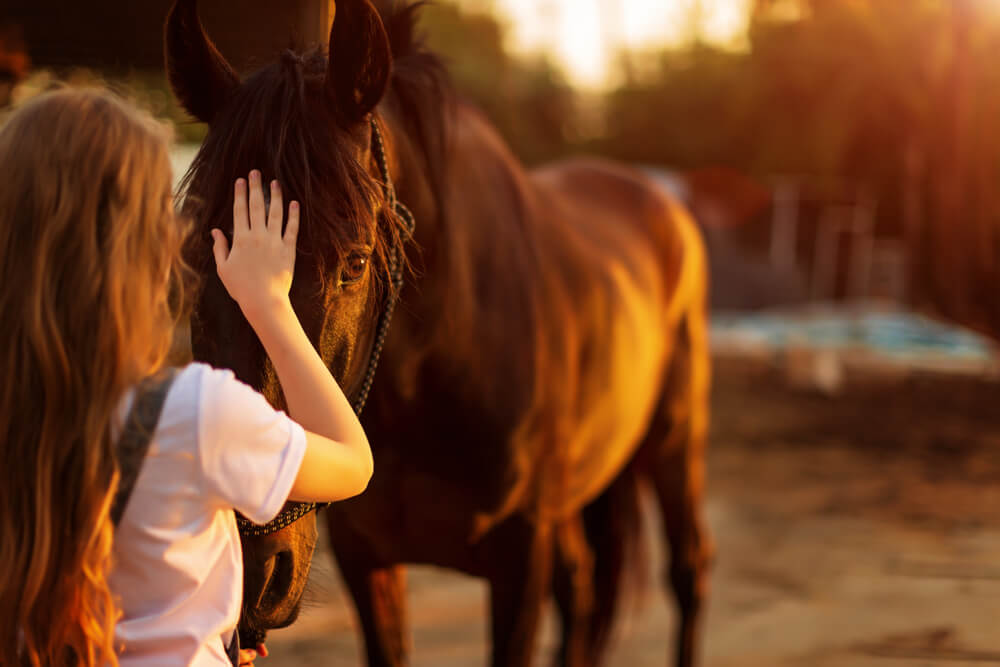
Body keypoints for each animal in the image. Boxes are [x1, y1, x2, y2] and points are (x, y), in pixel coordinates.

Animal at [166, 2, 712, 664]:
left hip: (675, 441)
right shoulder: (368, 557)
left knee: (686, 571)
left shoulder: (520, 556)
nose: (248, 568)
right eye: (194, 258)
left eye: (355, 262)